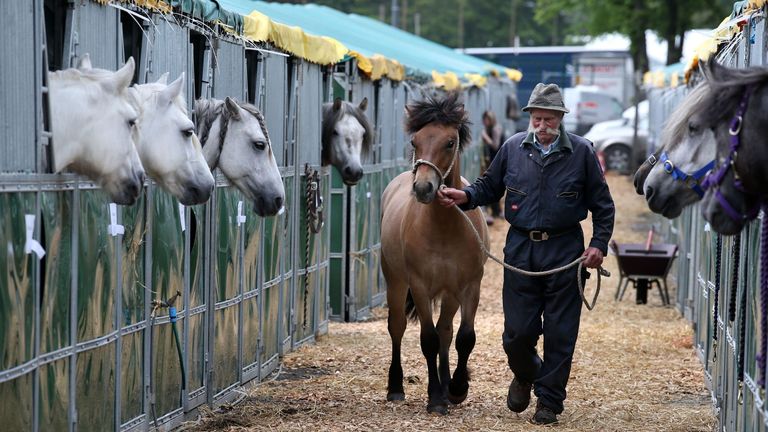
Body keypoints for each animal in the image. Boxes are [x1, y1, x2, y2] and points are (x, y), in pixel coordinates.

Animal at [380, 93, 488, 414]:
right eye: (414, 141)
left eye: (450, 142)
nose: (423, 188)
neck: (445, 228)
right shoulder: (419, 286)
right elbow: (427, 339)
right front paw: (435, 398)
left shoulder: (469, 287)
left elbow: (464, 338)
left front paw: (456, 389)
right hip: (395, 282)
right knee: (398, 327)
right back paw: (396, 387)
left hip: (450, 294)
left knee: (446, 332)